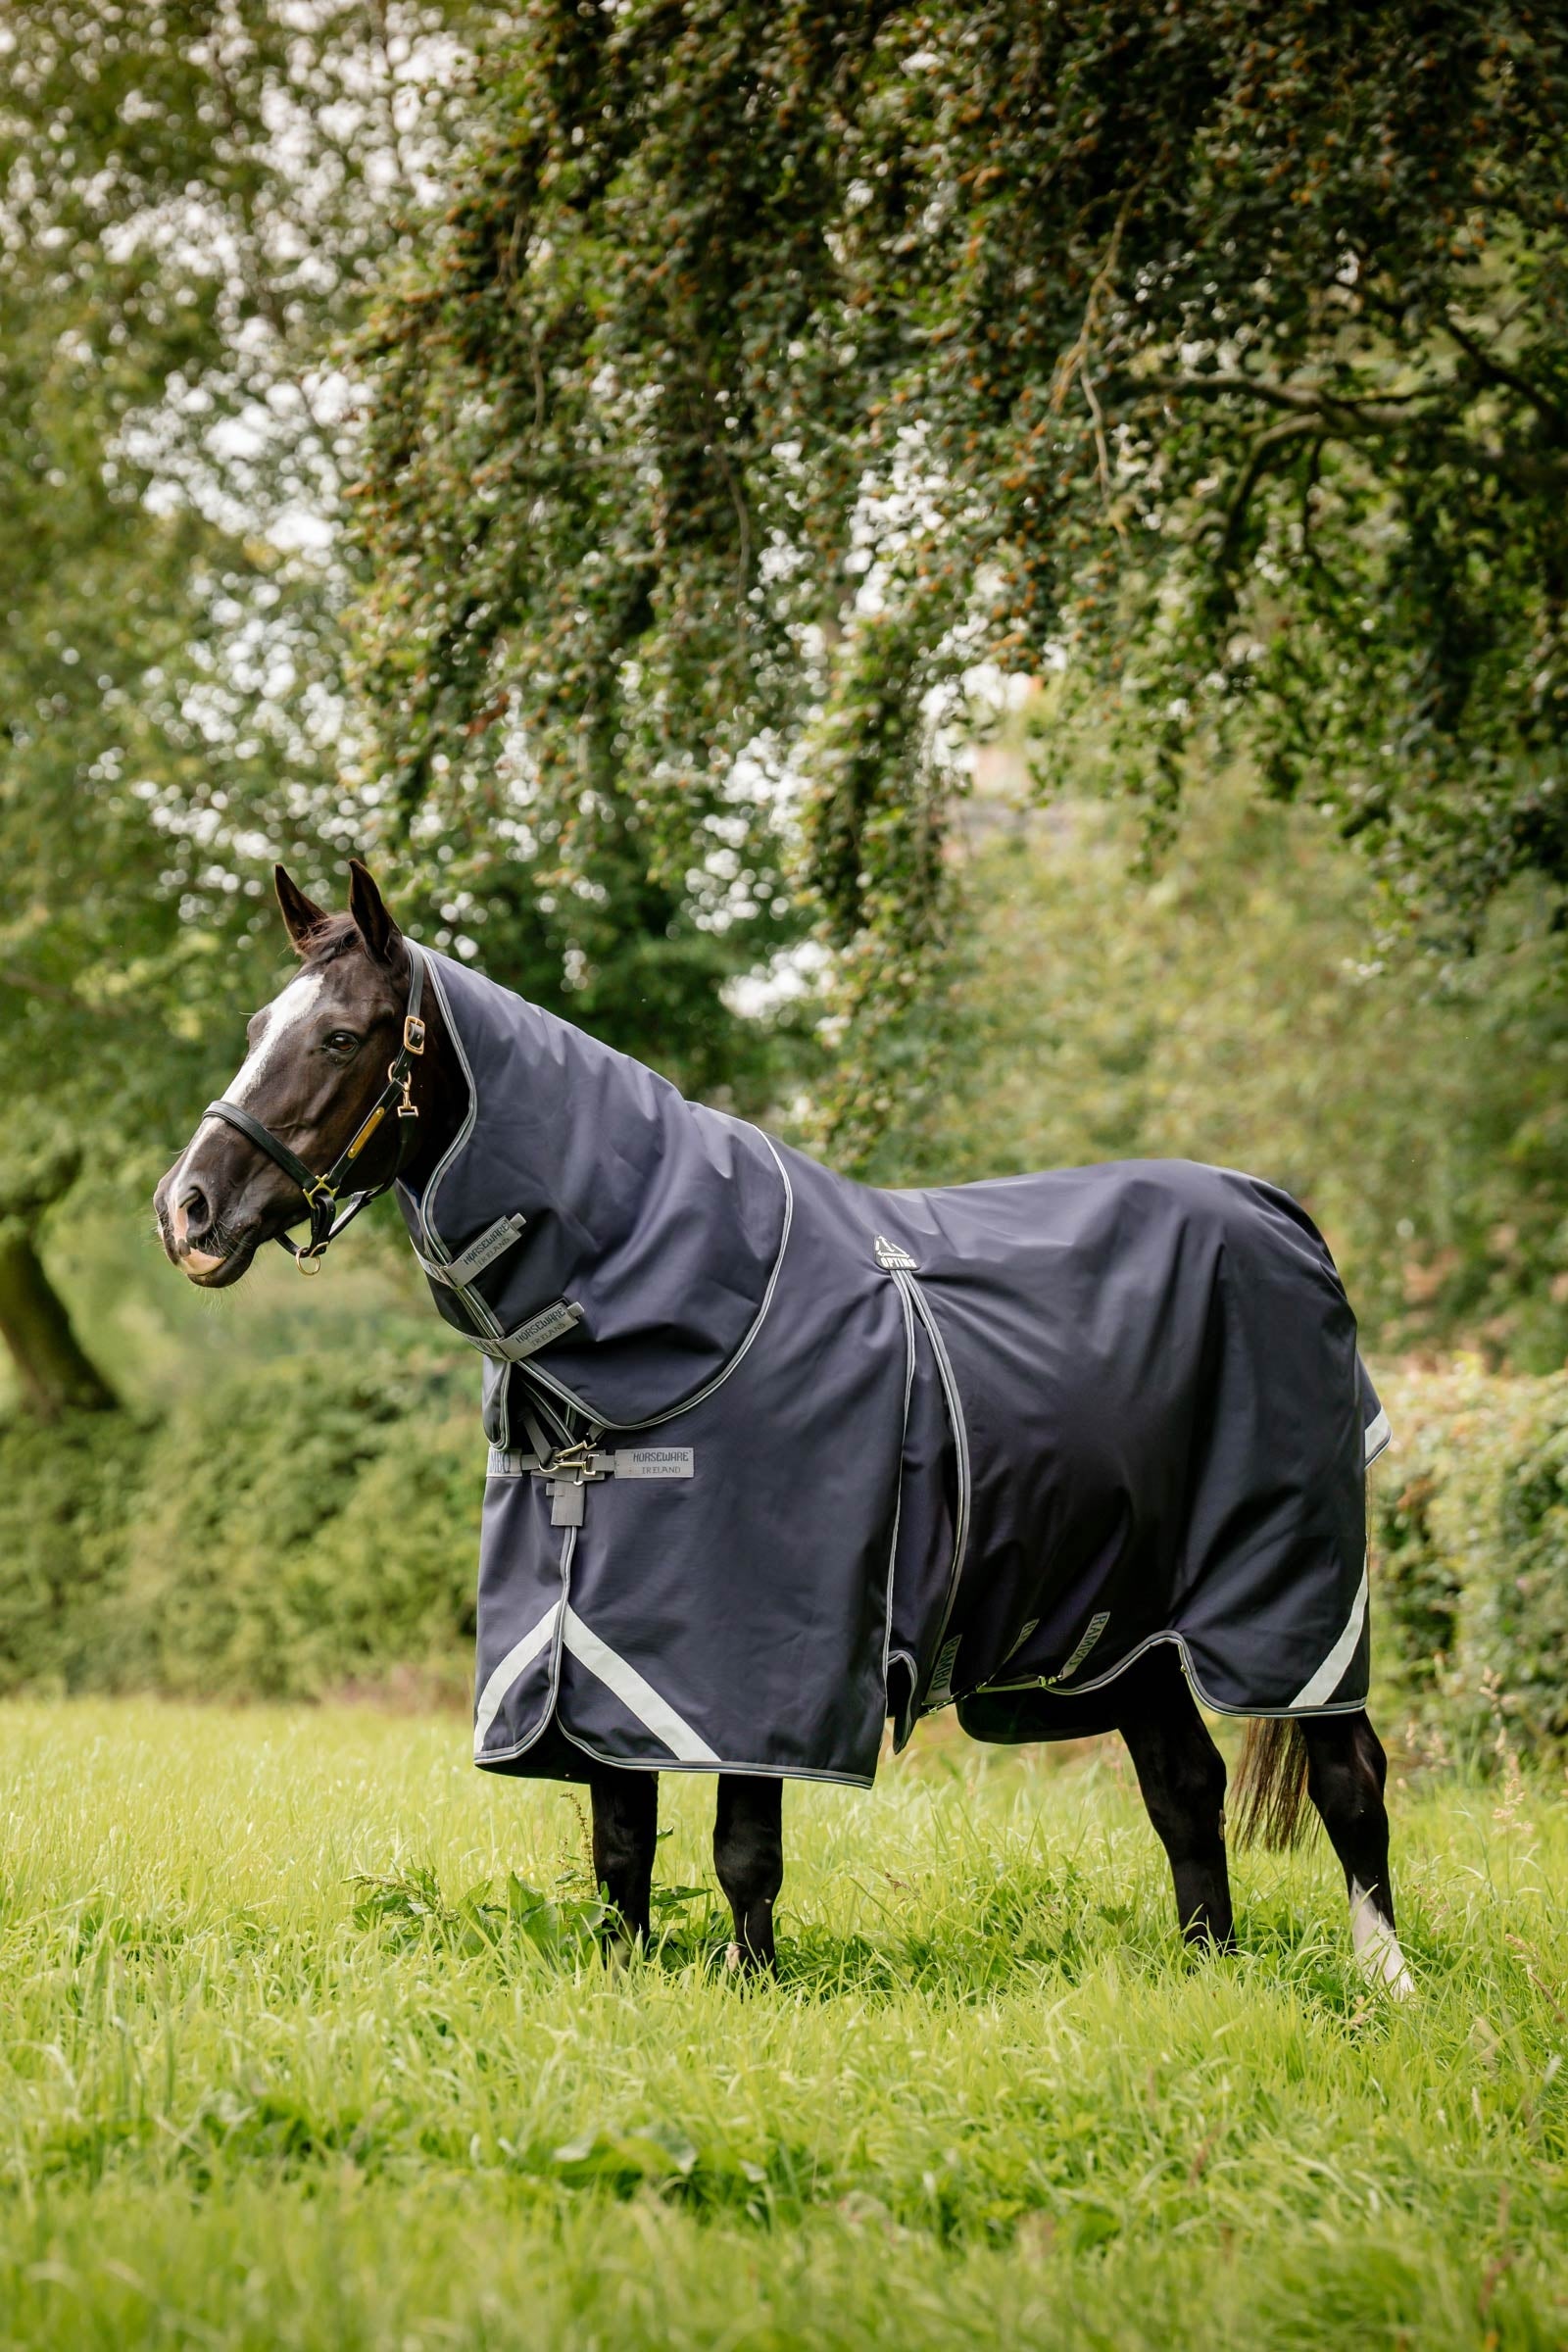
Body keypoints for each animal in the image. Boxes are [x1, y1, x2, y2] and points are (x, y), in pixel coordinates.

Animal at [155, 860, 1412, 1994]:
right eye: (260, 1025)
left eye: (341, 1038)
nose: (189, 1210)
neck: (677, 1304)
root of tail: (1280, 1214)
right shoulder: (593, 1656)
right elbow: (620, 1844)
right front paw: (623, 1990)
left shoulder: (751, 1663)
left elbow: (741, 1850)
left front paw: (752, 1987)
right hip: (1129, 1625)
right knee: (1185, 1791)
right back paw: (1209, 1972)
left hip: (1289, 1599)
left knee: (1348, 1775)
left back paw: (1384, 1984)